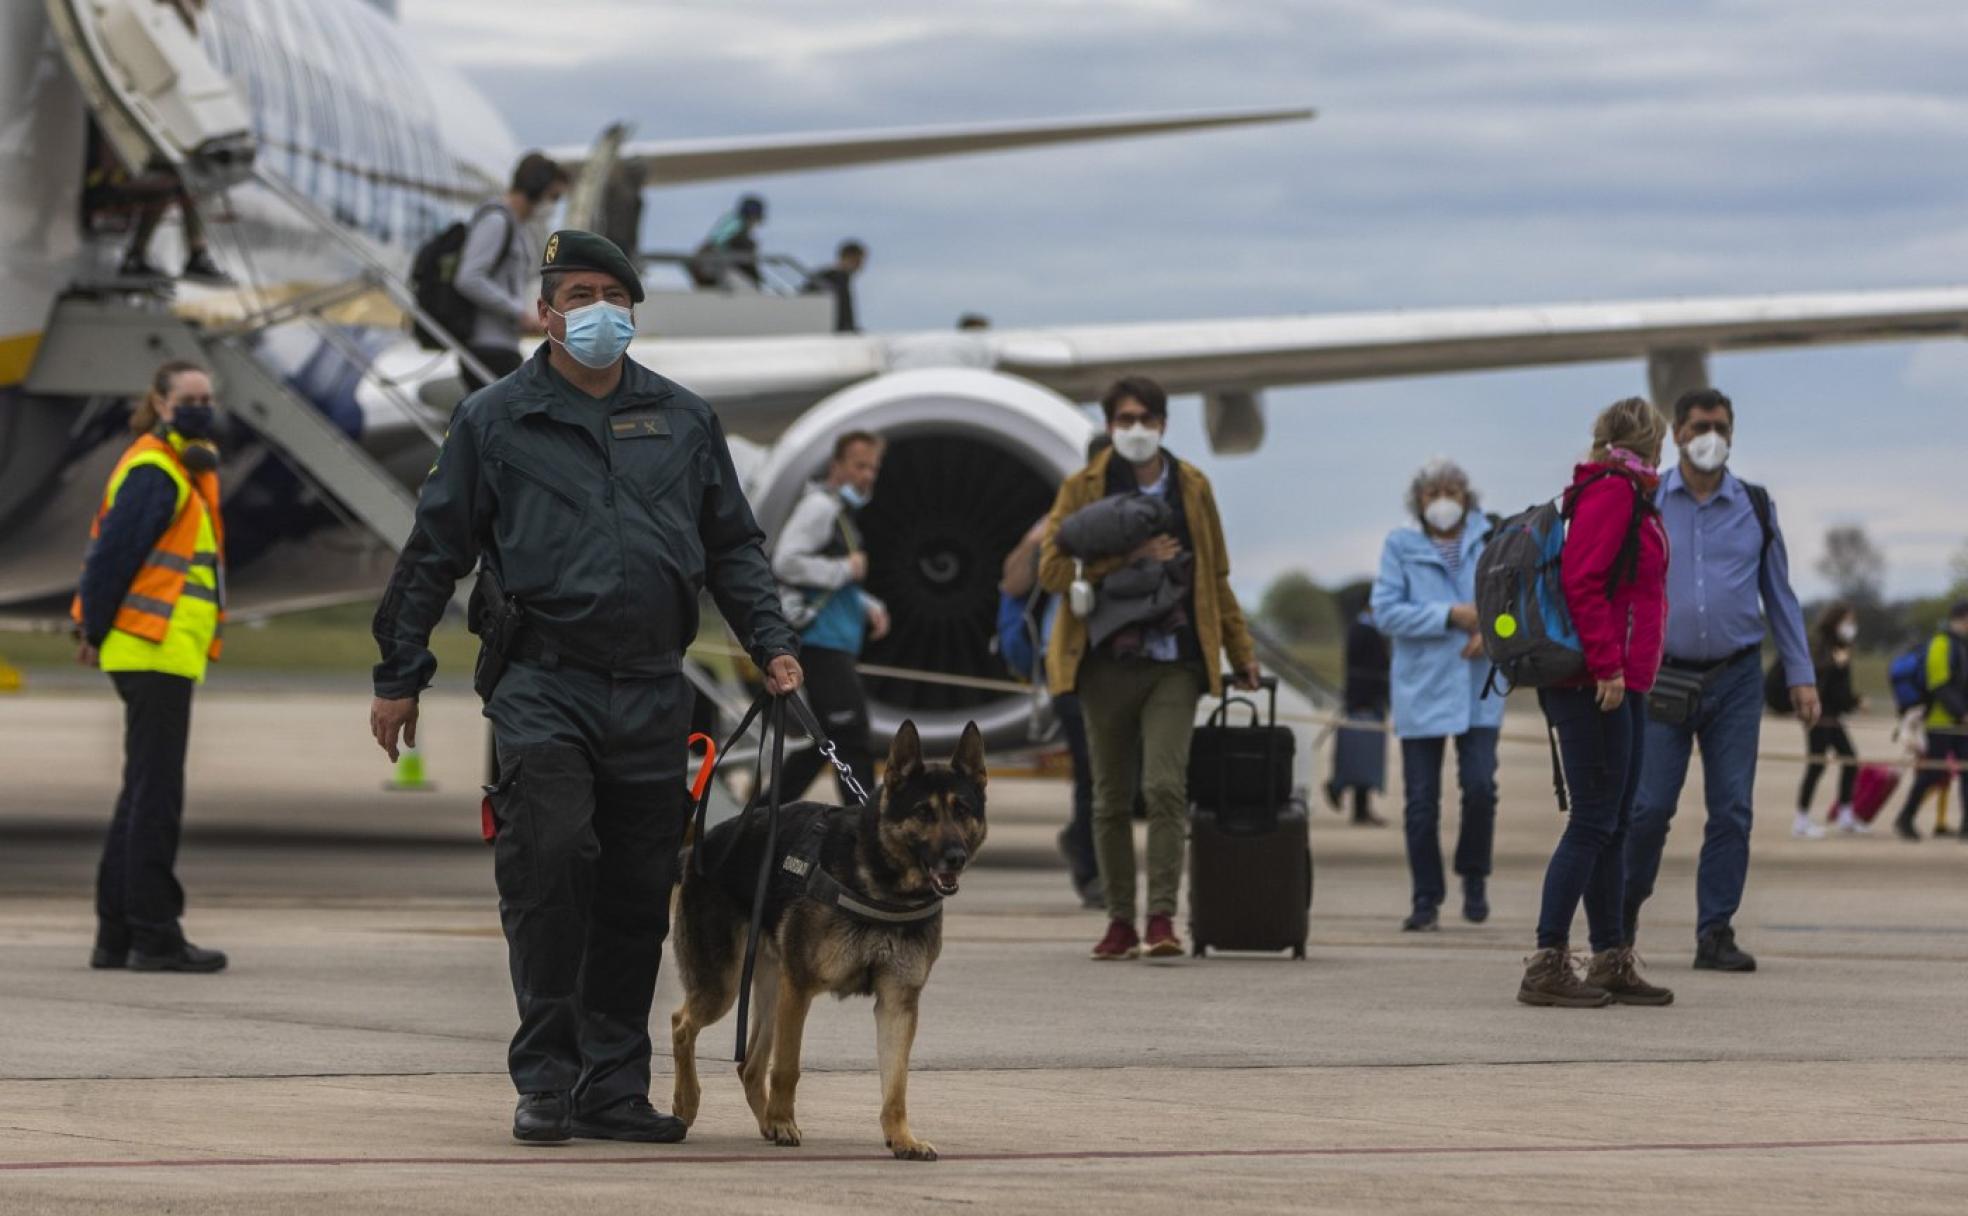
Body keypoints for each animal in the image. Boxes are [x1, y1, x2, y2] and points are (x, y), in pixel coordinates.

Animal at [673, 720, 984, 1156]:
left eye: (963, 811)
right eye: (924, 812)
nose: (956, 857)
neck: (881, 883)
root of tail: (701, 845)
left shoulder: (897, 1003)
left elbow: (896, 1084)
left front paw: (901, 1137)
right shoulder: (800, 988)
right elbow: (787, 1068)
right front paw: (783, 1121)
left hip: (771, 986)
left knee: (749, 1065)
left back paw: (764, 1121)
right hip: (727, 987)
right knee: (682, 1024)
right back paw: (691, 1103)